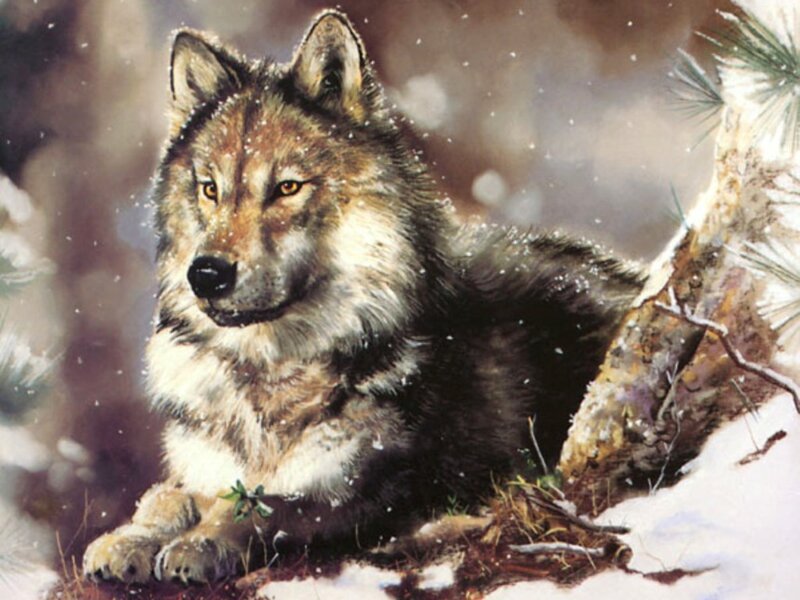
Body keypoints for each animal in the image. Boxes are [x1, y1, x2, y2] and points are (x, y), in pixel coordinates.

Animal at [83, 9, 642, 584]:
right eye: (209, 189)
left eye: (287, 188)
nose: (207, 274)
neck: (270, 376)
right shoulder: (205, 466)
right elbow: (166, 496)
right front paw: (130, 539)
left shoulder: (388, 487)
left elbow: (268, 504)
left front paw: (202, 542)